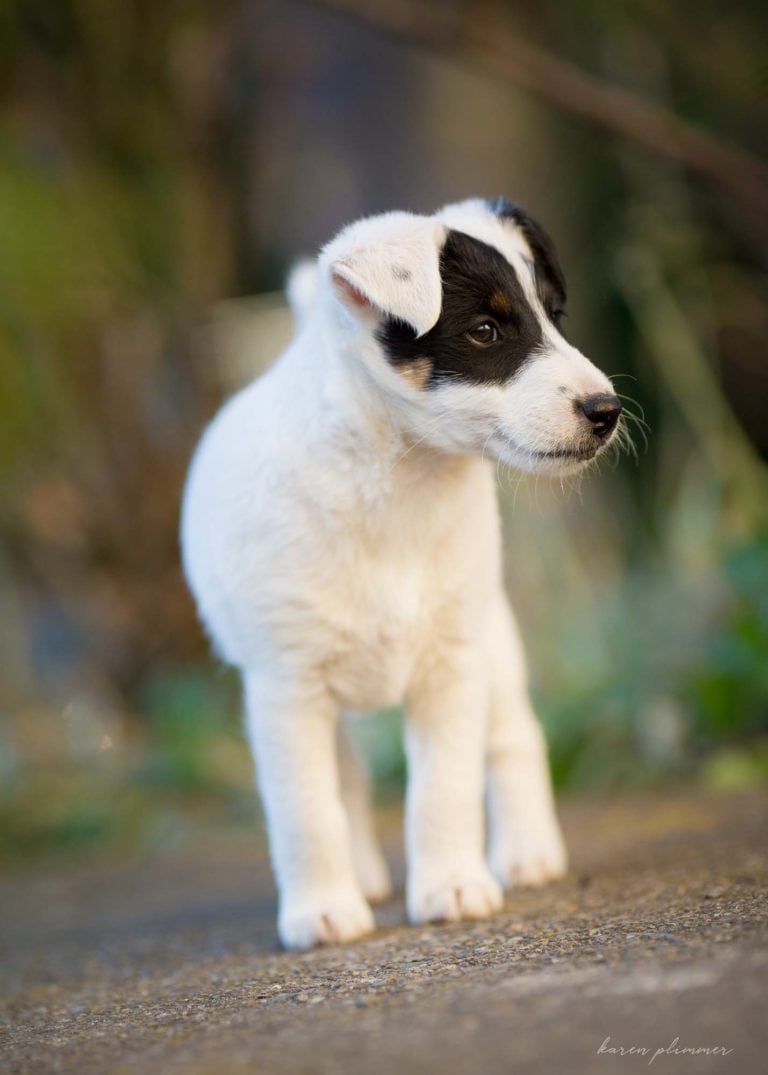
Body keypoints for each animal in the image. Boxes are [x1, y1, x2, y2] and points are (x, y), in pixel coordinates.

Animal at [180, 195, 623, 950]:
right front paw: (322, 909)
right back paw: (361, 876)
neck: (396, 483)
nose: (606, 411)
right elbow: (308, 808)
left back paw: (527, 852)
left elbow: (443, 790)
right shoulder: (286, 690)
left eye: (555, 315)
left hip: (495, 644)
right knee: (348, 784)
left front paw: (452, 885)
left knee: (514, 738)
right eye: (485, 330)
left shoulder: (453, 666)